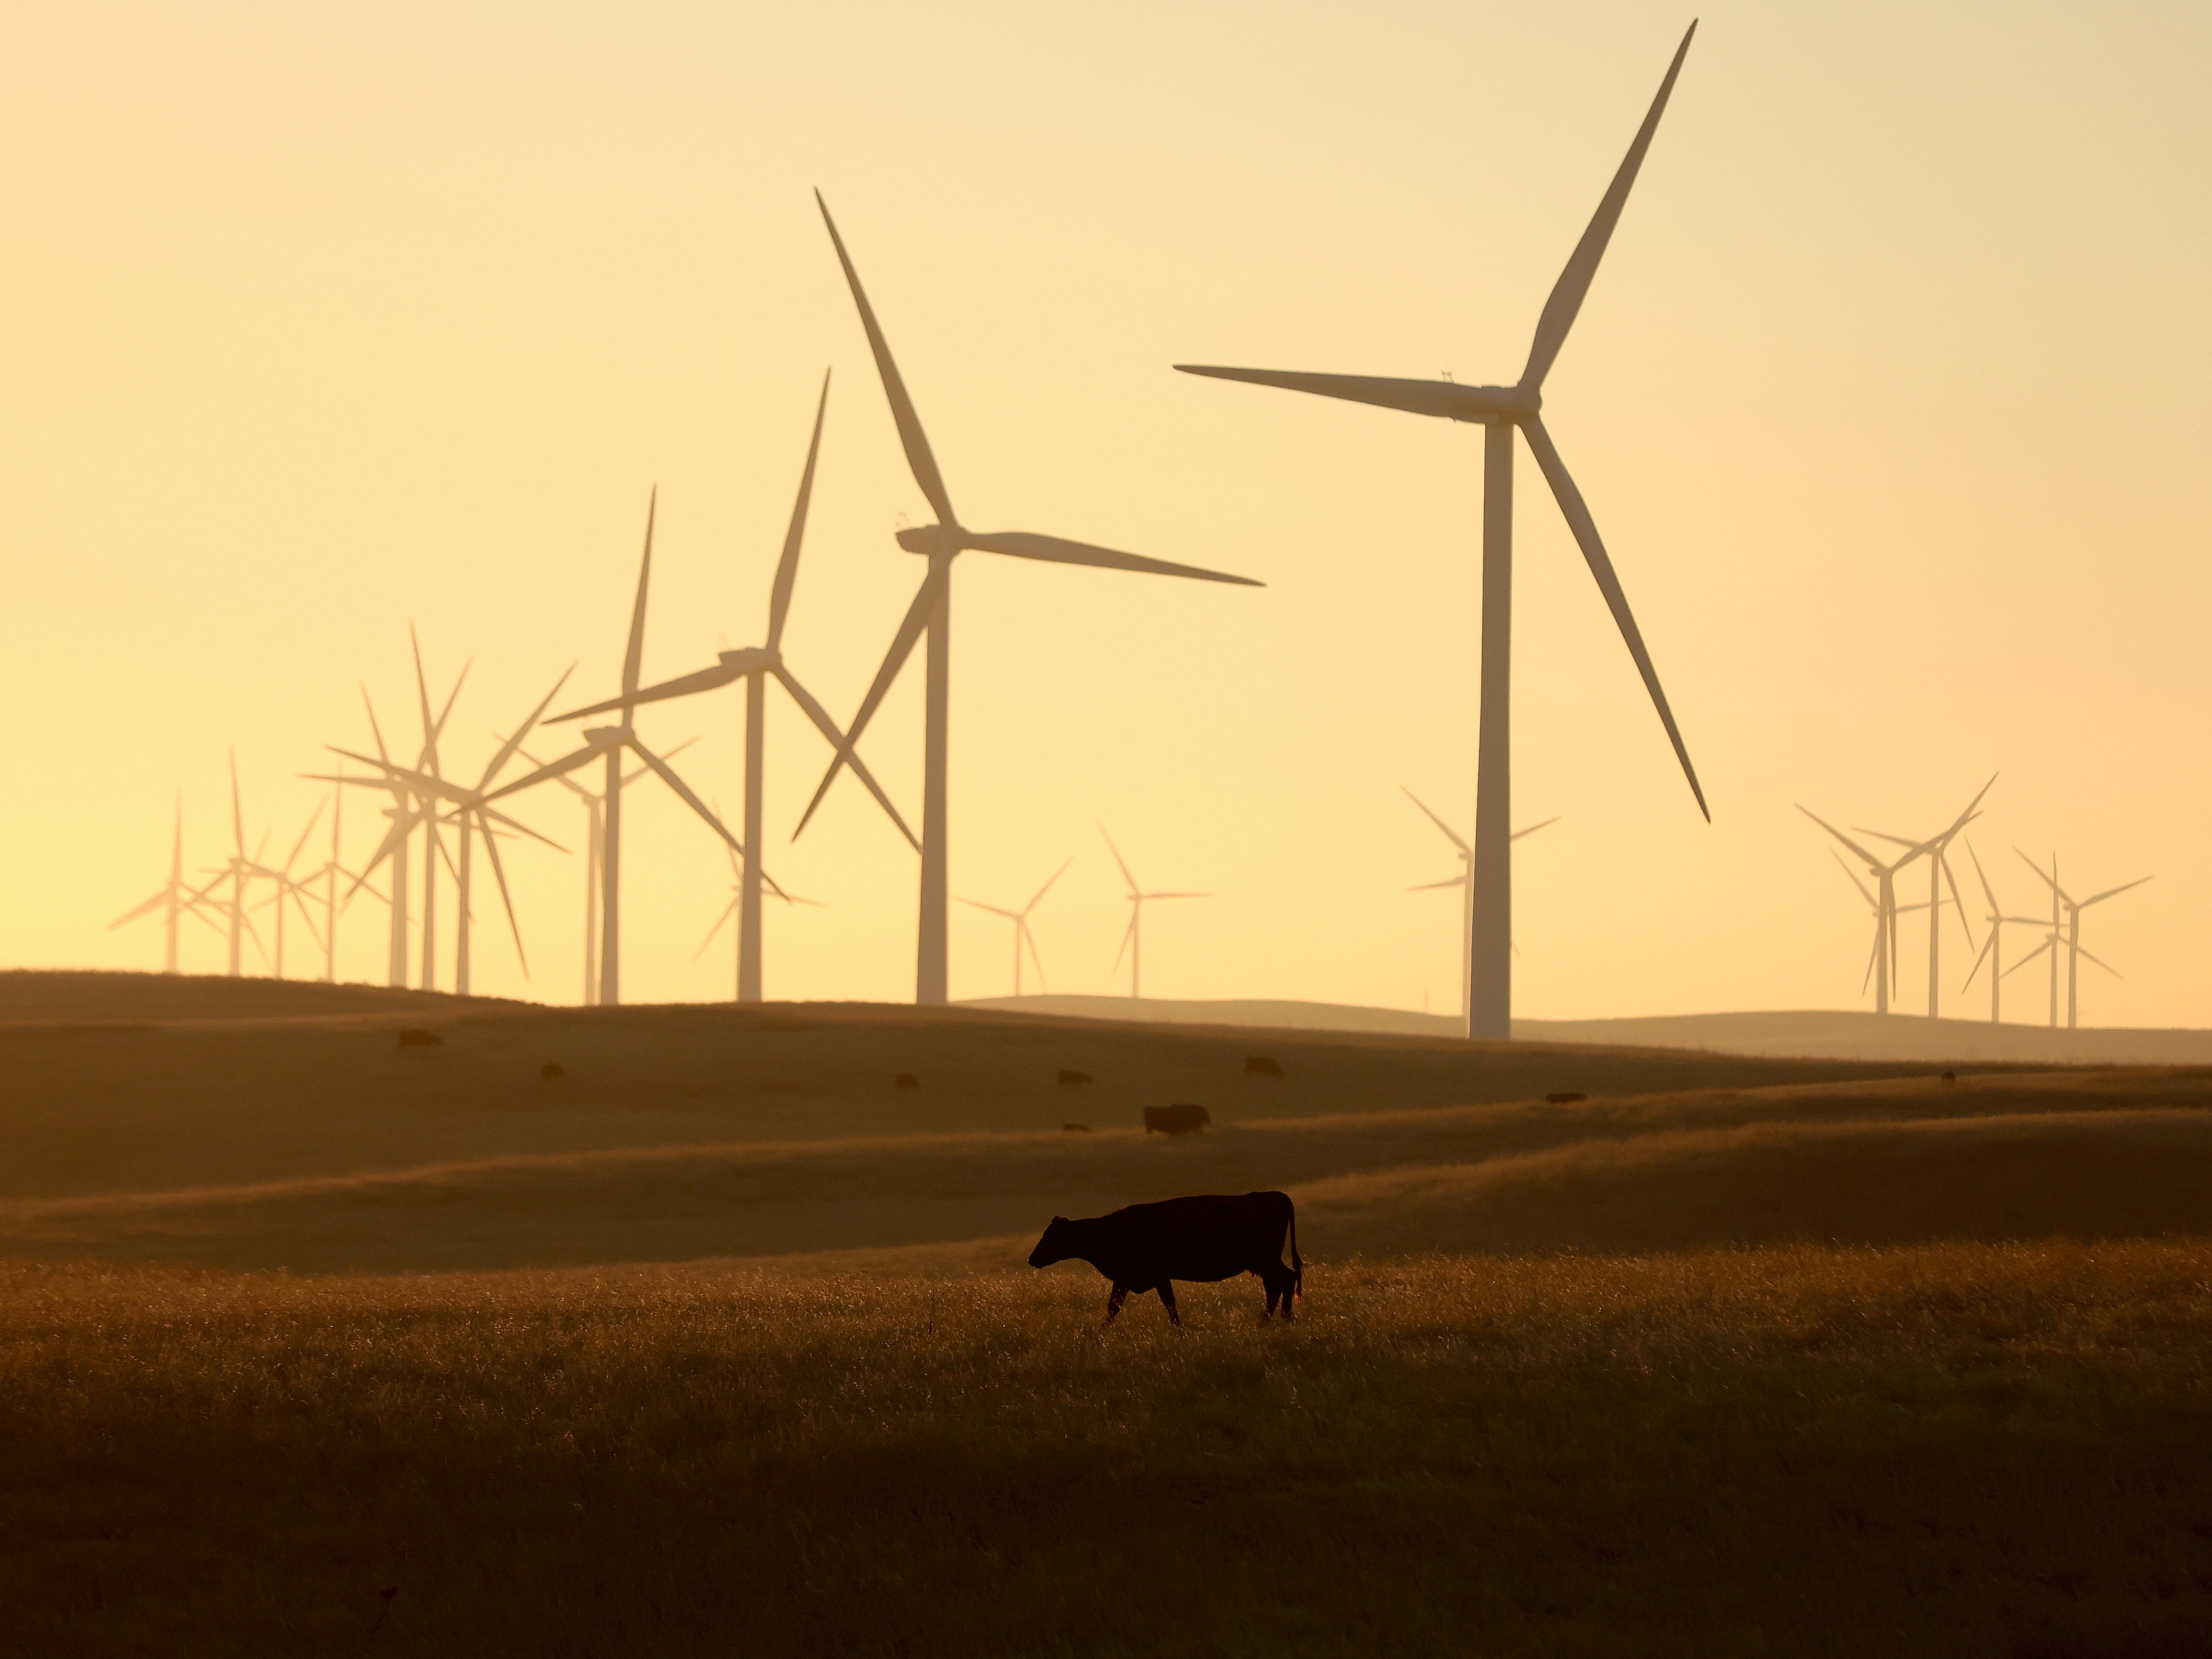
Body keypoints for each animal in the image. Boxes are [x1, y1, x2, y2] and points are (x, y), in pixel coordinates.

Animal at [1026, 1194, 1300, 1327]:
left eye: (1050, 1238)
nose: (1032, 1259)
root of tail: (1277, 1195)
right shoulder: (1132, 1279)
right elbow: (1116, 1307)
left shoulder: (1150, 1276)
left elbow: (1166, 1304)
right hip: (1264, 1262)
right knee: (1278, 1283)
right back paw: (1273, 1318)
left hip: (1265, 1260)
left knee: (1285, 1280)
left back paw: (1280, 1317)